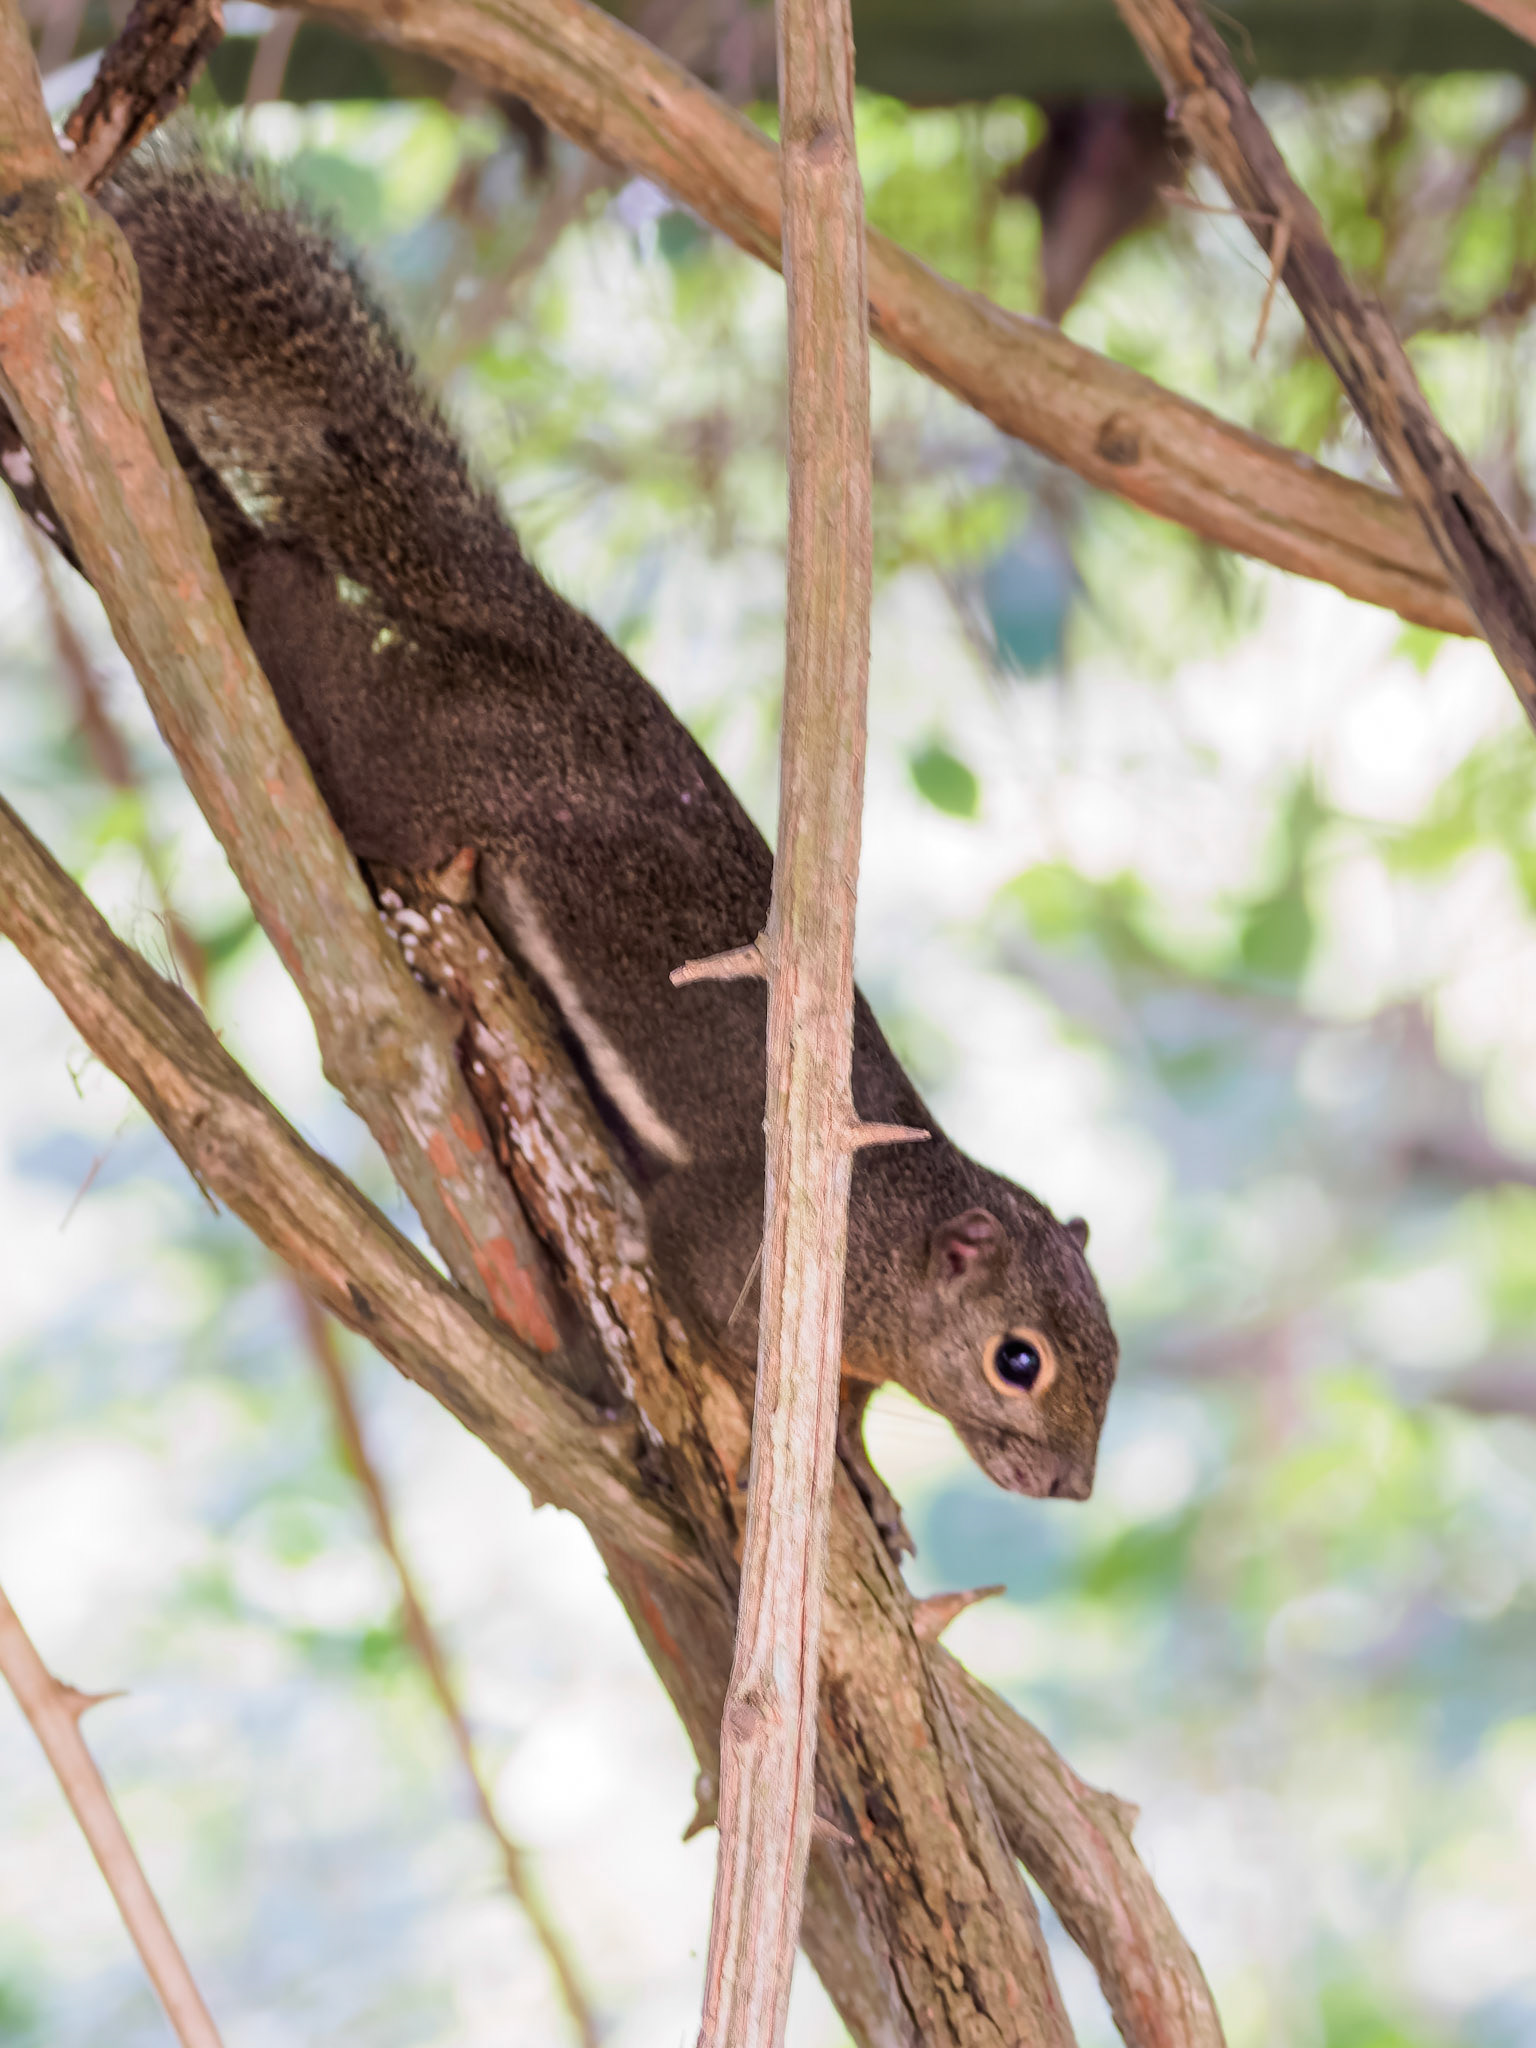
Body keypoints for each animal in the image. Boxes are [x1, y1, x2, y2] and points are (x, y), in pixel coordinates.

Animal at [97, 145, 1119, 1550]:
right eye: (1020, 1358)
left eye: (1110, 1355)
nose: (1071, 1485)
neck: (881, 1237)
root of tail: (544, 643)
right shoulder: (731, 1247)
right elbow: (738, 1347)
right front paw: (838, 1472)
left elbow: (850, 1409)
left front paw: (870, 1474)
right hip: (421, 763)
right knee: (330, 669)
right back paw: (270, 580)